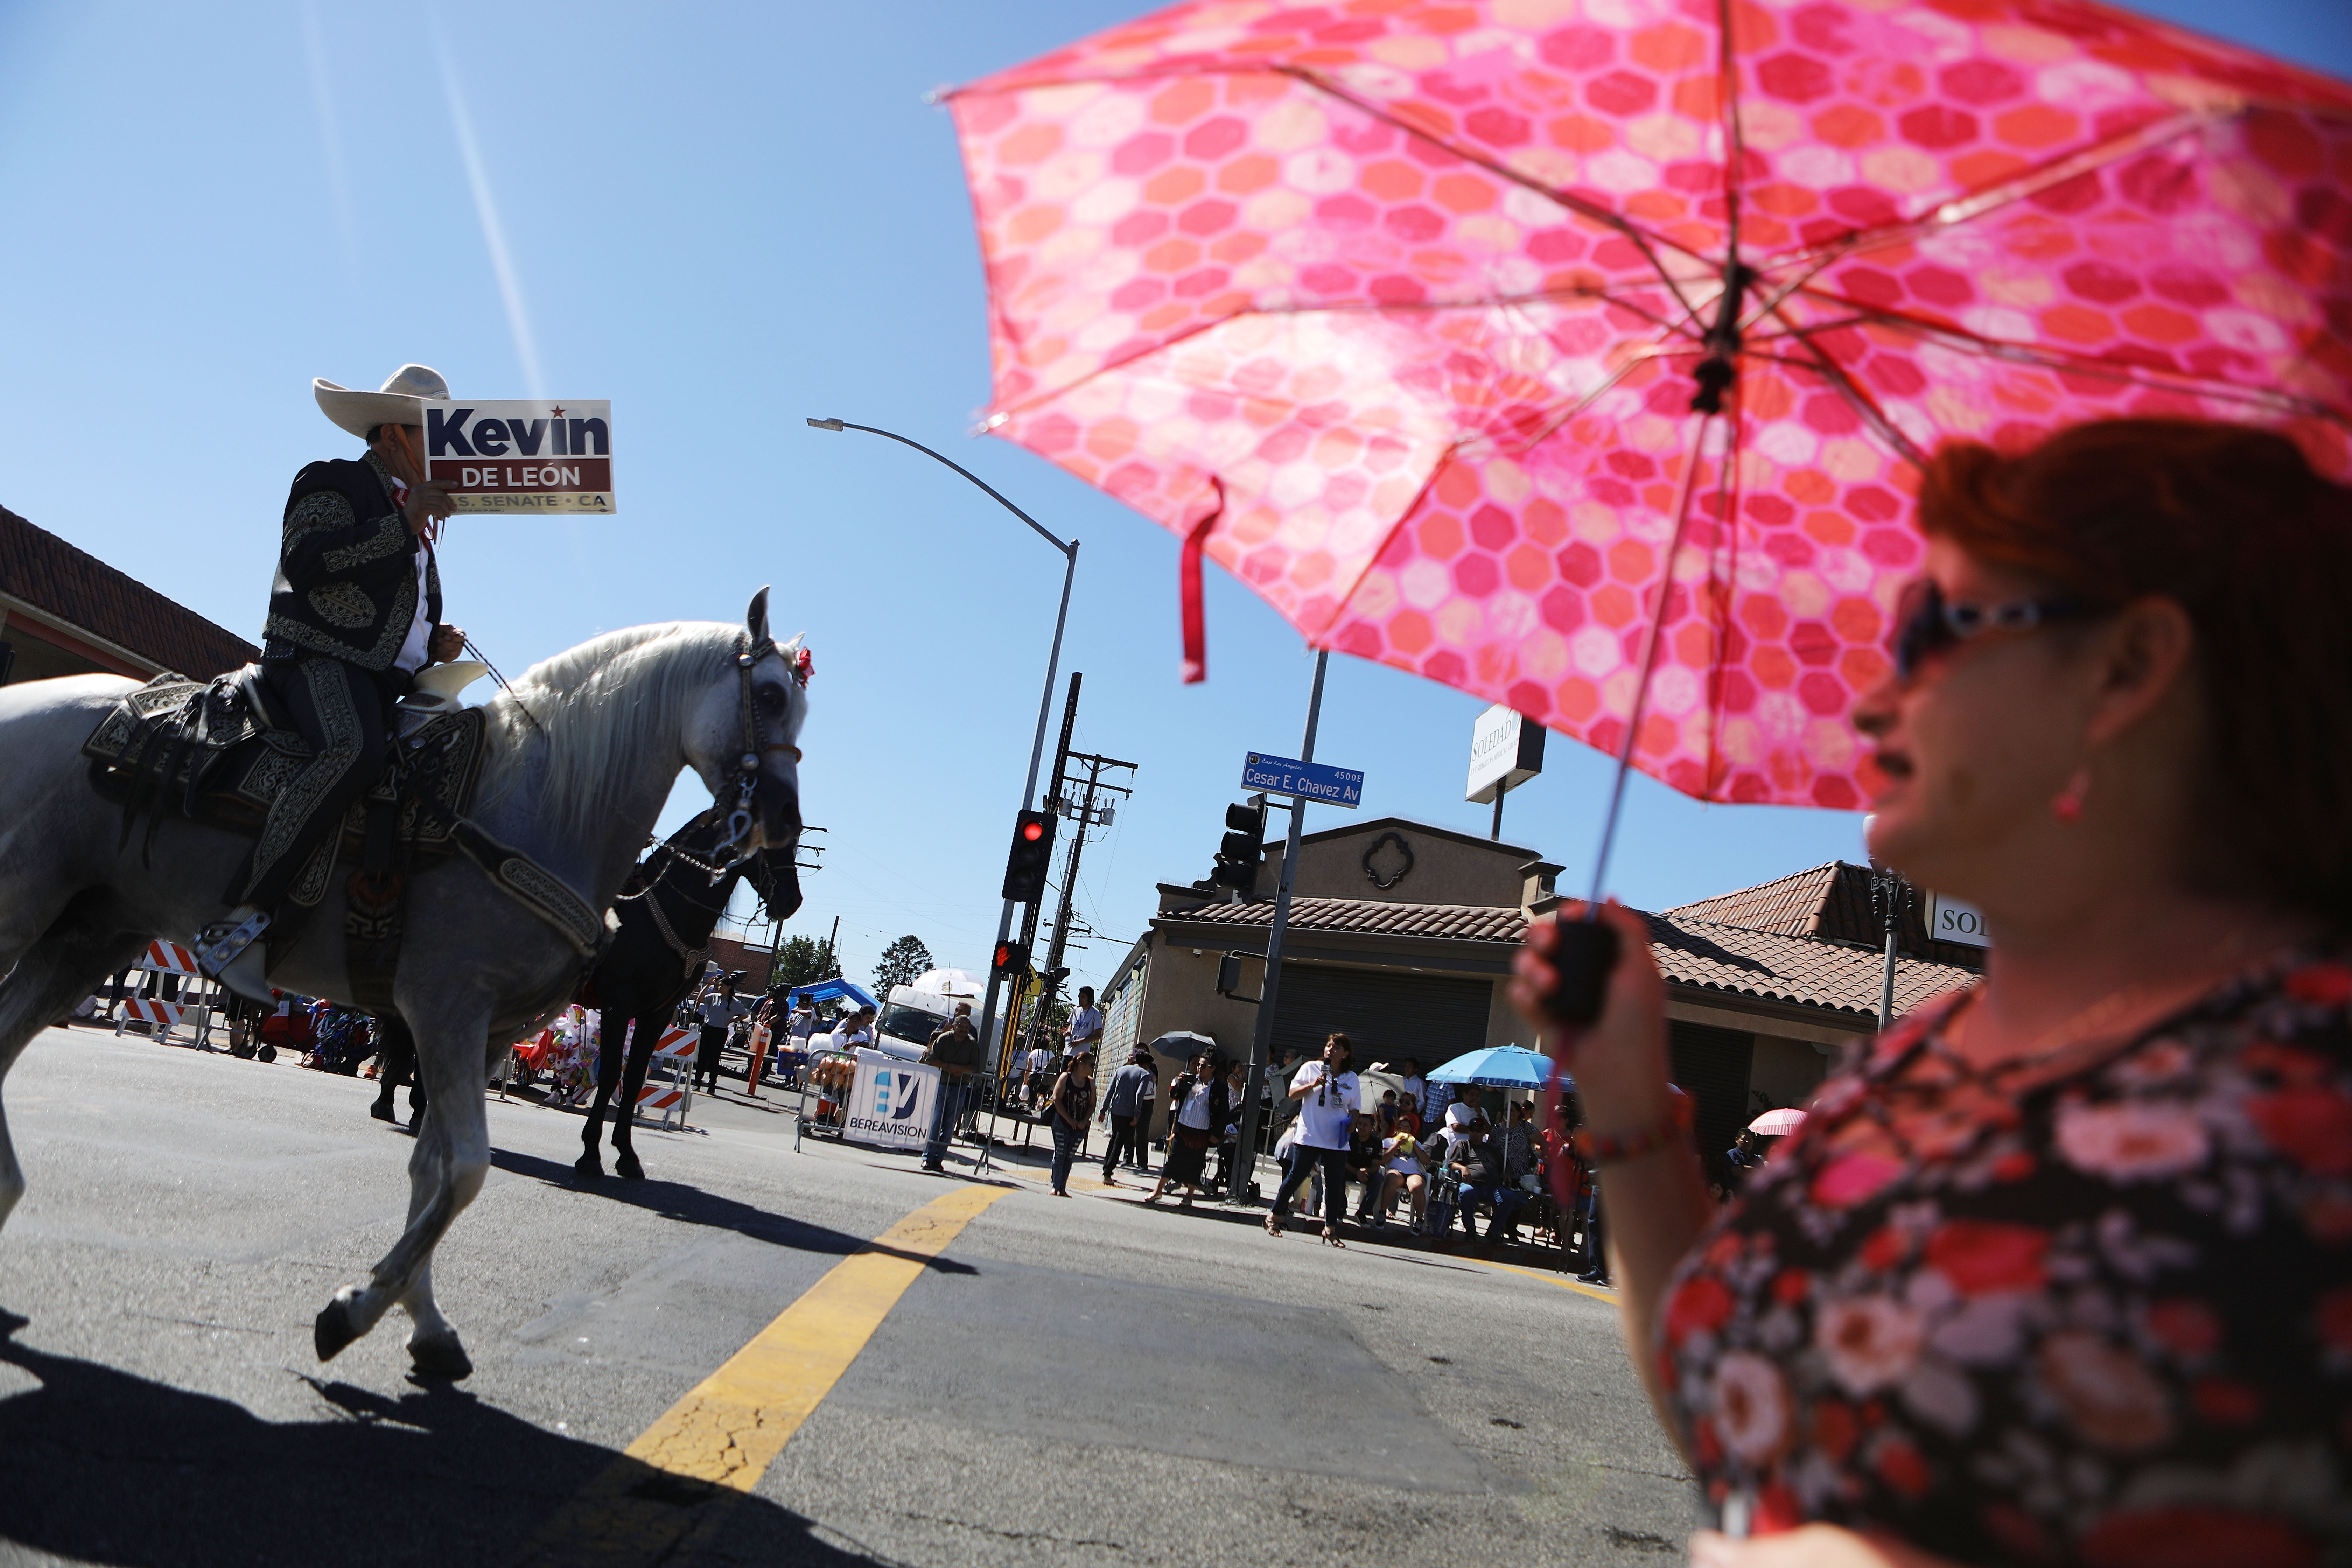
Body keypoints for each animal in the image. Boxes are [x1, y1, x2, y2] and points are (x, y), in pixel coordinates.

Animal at [0, 595, 804, 1382]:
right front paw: (356, 1307)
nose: (784, 831)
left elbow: (437, 1169)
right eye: (769, 695)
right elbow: (472, 1166)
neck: (539, 803)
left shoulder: (496, 1032)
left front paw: (424, 1321)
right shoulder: (455, 1008)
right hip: (30, 903)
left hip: (93, 930)